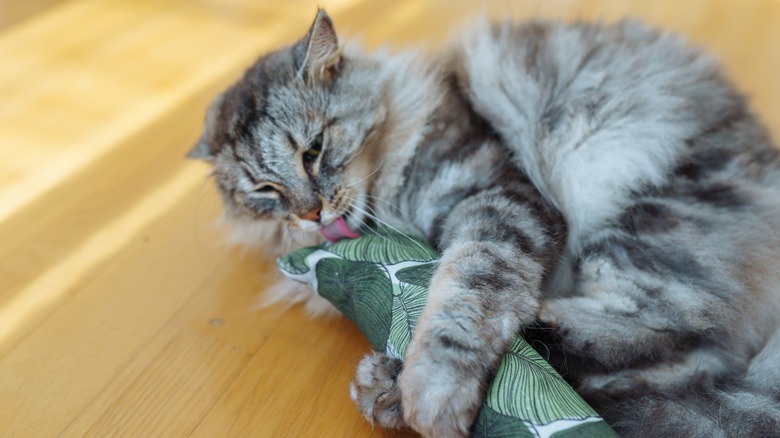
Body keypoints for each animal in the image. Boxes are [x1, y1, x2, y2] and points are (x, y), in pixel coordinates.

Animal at [189, 7, 780, 438]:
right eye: (264, 191)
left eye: (312, 151)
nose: (309, 213)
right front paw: (395, 391)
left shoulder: (498, 199)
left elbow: (462, 296)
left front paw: (430, 393)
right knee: (682, 357)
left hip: (635, 213)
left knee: (671, 331)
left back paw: (532, 329)